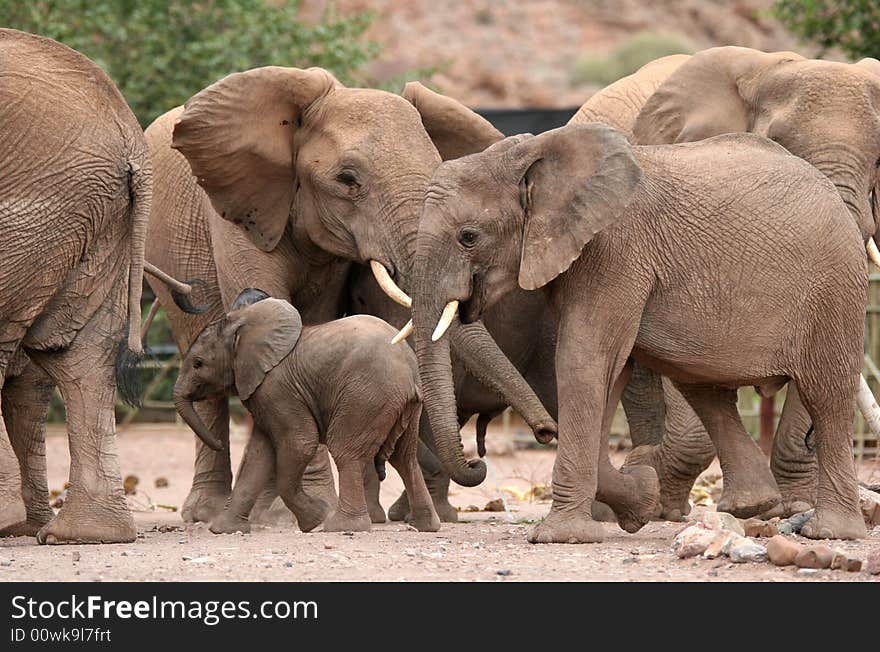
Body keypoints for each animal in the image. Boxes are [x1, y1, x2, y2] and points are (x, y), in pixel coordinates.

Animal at [174, 290, 440, 536]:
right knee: (404, 457)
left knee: (346, 451)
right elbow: (260, 454)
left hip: (367, 396)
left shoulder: (277, 388)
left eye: (198, 363)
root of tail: (409, 371)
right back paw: (425, 526)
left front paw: (315, 520)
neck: (244, 322)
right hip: (401, 405)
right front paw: (224, 530)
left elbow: (300, 442)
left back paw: (340, 526)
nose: (219, 443)